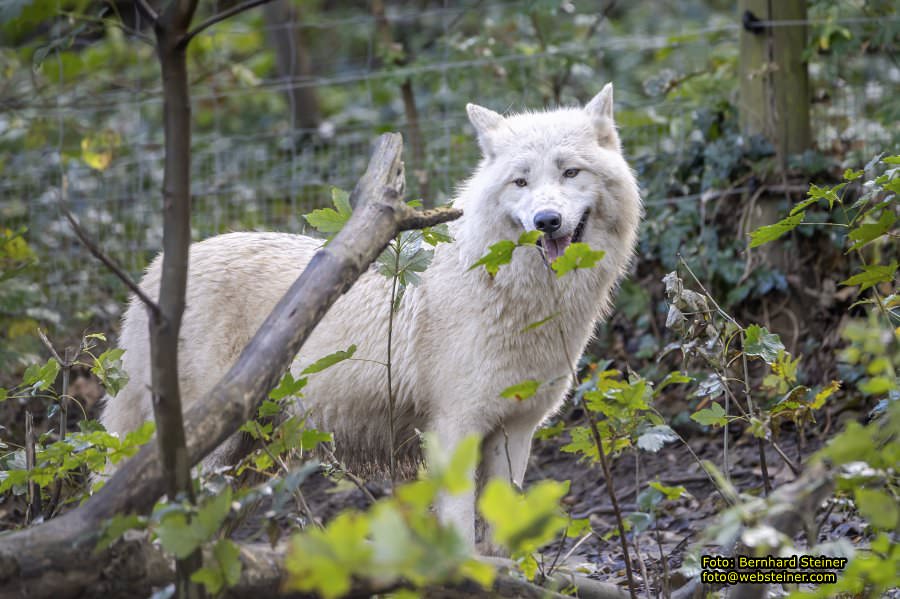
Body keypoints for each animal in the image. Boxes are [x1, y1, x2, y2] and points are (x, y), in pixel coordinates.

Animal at [100, 84, 640, 548]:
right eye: (521, 181)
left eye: (570, 173)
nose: (547, 221)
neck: (511, 290)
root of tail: (152, 278)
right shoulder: (454, 430)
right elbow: (462, 538)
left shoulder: (516, 432)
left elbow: (501, 541)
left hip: (244, 462)